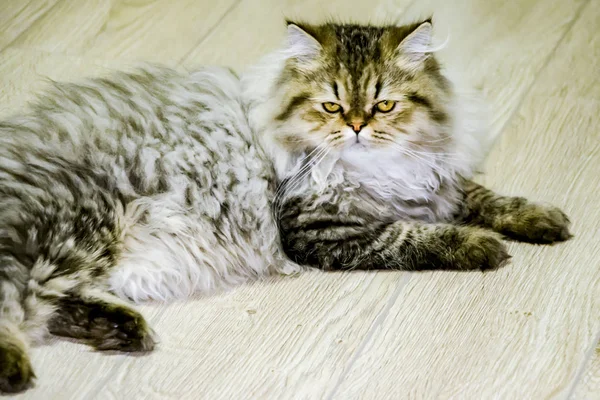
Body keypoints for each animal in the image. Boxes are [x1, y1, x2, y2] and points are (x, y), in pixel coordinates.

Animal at [0, 18, 572, 390]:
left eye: (384, 104)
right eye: (332, 106)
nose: (357, 127)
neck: (373, 169)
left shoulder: (435, 182)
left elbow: (484, 198)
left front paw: (540, 218)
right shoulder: (321, 229)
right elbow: (414, 236)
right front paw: (482, 246)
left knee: (58, 306)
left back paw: (123, 331)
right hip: (69, 232)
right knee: (17, 306)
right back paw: (17, 368)